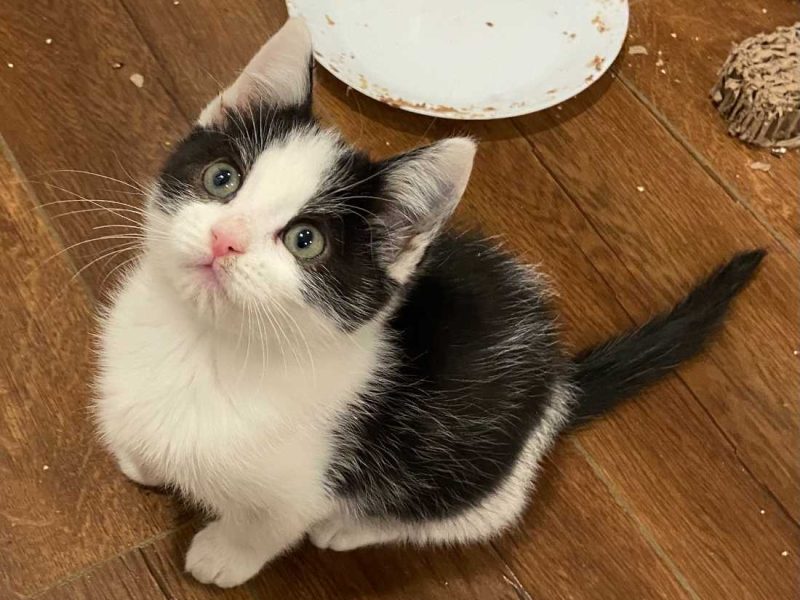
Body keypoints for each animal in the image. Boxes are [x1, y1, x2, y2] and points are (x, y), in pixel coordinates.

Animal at [94, 18, 764, 588]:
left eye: (306, 241)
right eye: (222, 179)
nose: (224, 239)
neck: (202, 343)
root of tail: (558, 382)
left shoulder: (298, 483)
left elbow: (267, 525)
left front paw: (224, 554)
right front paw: (144, 459)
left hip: (474, 471)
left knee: (465, 513)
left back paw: (349, 527)